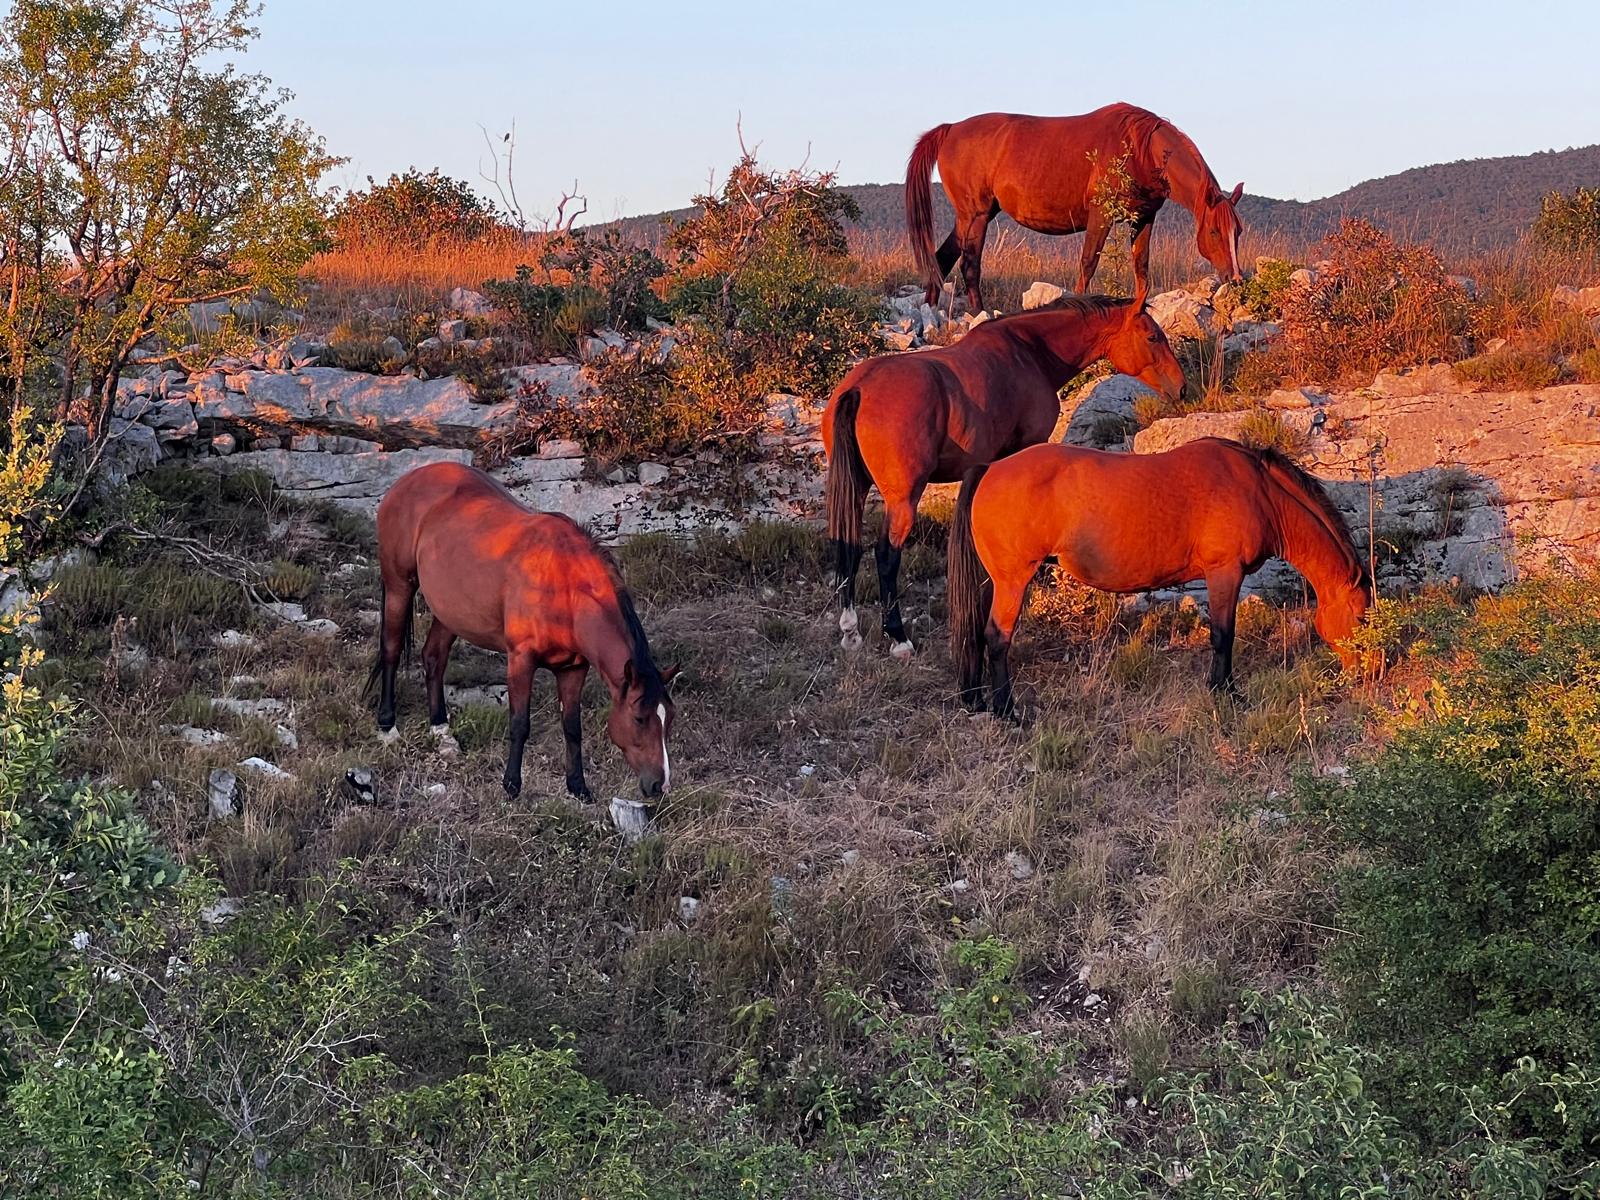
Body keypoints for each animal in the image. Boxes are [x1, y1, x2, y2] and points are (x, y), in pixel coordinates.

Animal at [371, 462, 678, 799]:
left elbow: (572, 727)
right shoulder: (521, 660)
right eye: (639, 718)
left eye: (669, 717)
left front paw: (578, 786)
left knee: (433, 657)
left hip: (450, 609)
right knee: (391, 651)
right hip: (399, 585)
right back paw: (387, 728)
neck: (563, 587)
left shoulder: (573, 669)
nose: (660, 785)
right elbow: (519, 723)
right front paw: (512, 785)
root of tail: (407, 480)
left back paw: (441, 730)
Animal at [823, 295, 1185, 657]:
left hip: (856, 489)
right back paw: (898, 637)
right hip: (903, 499)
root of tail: (858, 389)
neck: (1029, 352)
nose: (1180, 388)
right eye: (1152, 336)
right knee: (886, 555)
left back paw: (850, 630)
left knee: (849, 545)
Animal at [906, 103, 1245, 311]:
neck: (1141, 148)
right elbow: (1087, 263)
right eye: (1214, 232)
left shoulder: (1143, 217)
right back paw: (980, 314)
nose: (1236, 279)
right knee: (969, 264)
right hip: (975, 216)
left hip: (971, 217)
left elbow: (1142, 267)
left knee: (942, 258)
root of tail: (951, 129)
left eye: (1238, 232)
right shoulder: (1101, 216)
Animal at [947, 438, 1370, 718]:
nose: (1369, 673)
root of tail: (990, 469)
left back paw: (980, 699)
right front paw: (1226, 692)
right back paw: (1007, 710)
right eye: (1361, 617)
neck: (1259, 492)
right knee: (997, 637)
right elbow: (1223, 636)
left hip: (994, 582)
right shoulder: (1224, 572)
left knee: (979, 634)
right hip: (1013, 581)